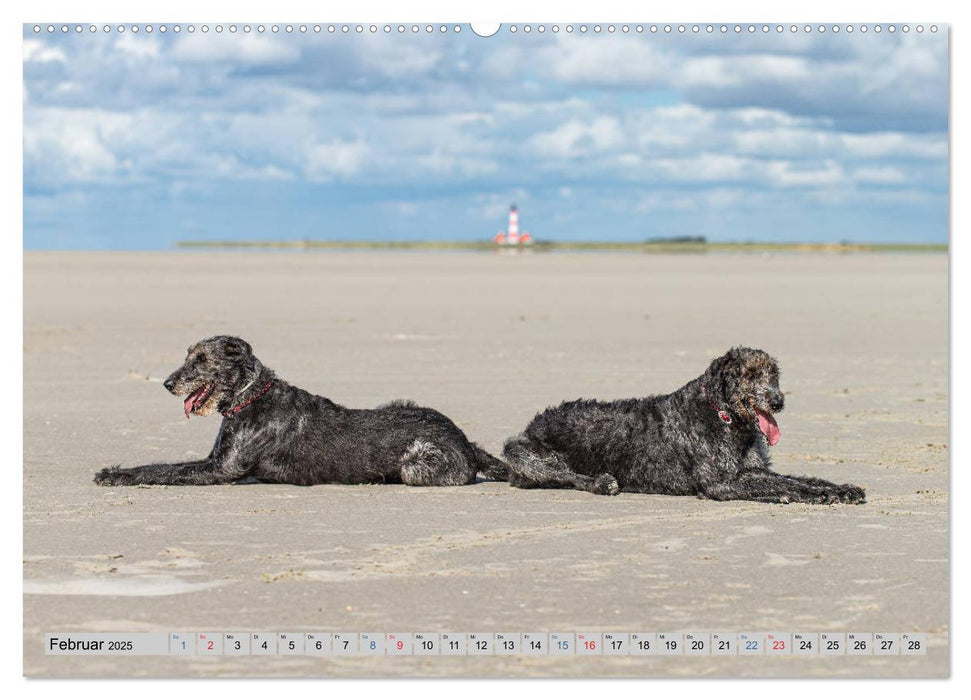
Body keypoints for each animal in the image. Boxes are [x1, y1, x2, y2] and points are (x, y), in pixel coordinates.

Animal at [96, 338, 508, 486]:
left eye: (201, 359)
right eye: (188, 356)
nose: (167, 383)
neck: (251, 396)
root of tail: (465, 441)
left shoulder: (221, 469)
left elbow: (162, 469)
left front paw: (115, 475)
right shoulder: (216, 460)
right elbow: (165, 464)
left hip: (417, 464)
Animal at [504, 346, 868, 504]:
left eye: (773, 374)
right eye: (750, 374)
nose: (778, 402)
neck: (723, 416)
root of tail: (535, 422)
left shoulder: (753, 469)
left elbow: (799, 479)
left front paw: (838, 489)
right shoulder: (720, 484)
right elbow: (773, 486)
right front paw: (803, 495)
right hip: (522, 452)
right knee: (566, 476)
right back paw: (601, 482)